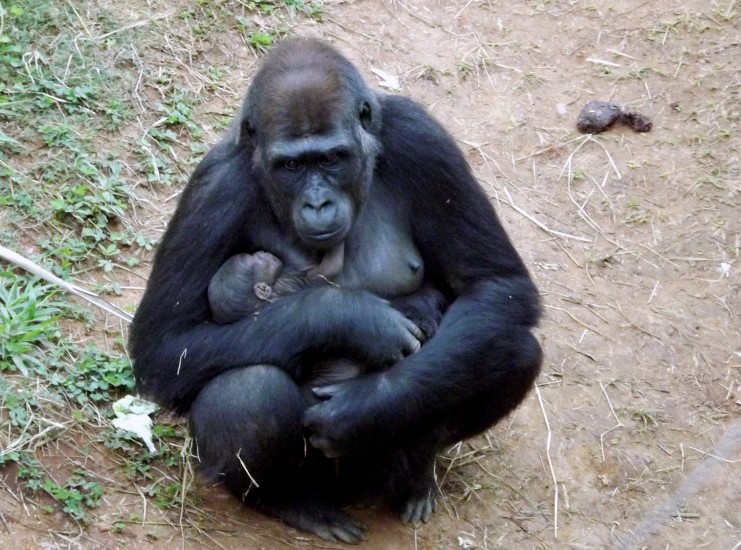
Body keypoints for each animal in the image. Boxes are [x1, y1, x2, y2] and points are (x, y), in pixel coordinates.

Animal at [130, 36, 540, 544]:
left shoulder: (423, 139)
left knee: (509, 347)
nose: (318, 203)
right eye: (290, 165)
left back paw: (419, 476)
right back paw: (290, 502)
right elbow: (167, 348)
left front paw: (366, 406)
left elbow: (496, 285)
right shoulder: (215, 187)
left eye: (331, 158)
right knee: (250, 391)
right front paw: (350, 317)